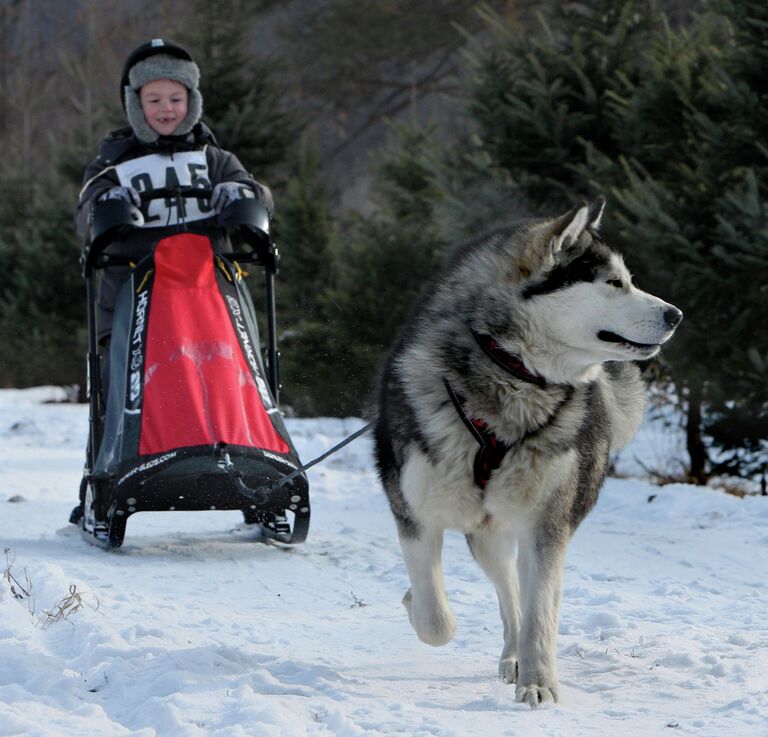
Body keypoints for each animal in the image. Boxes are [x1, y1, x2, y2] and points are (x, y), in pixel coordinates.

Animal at [376, 198, 680, 704]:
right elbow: (436, 620)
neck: (512, 375)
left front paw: (538, 684)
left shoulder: (547, 525)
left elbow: (540, 614)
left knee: (522, 597)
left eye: (629, 279)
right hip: (486, 534)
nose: (676, 315)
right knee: (508, 594)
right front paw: (415, 602)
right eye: (612, 282)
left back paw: (517, 659)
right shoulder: (414, 514)